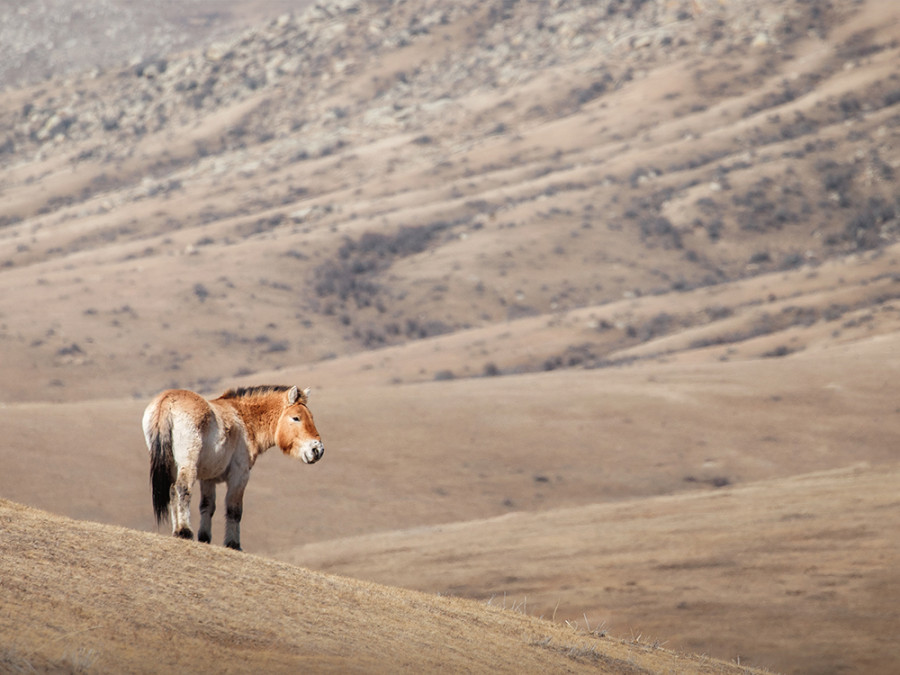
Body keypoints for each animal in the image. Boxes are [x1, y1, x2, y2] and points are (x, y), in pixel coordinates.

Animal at [141, 382, 324, 552]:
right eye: (296, 418)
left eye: (311, 416)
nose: (318, 450)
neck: (243, 418)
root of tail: (167, 401)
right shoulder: (239, 475)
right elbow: (234, 509)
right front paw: (233, 544)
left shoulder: (208, 479)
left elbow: (207, 506)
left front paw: (205, 538)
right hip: (187, 463)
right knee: (182, 488)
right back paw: (184, 531)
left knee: (172, 491)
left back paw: (178, 531)